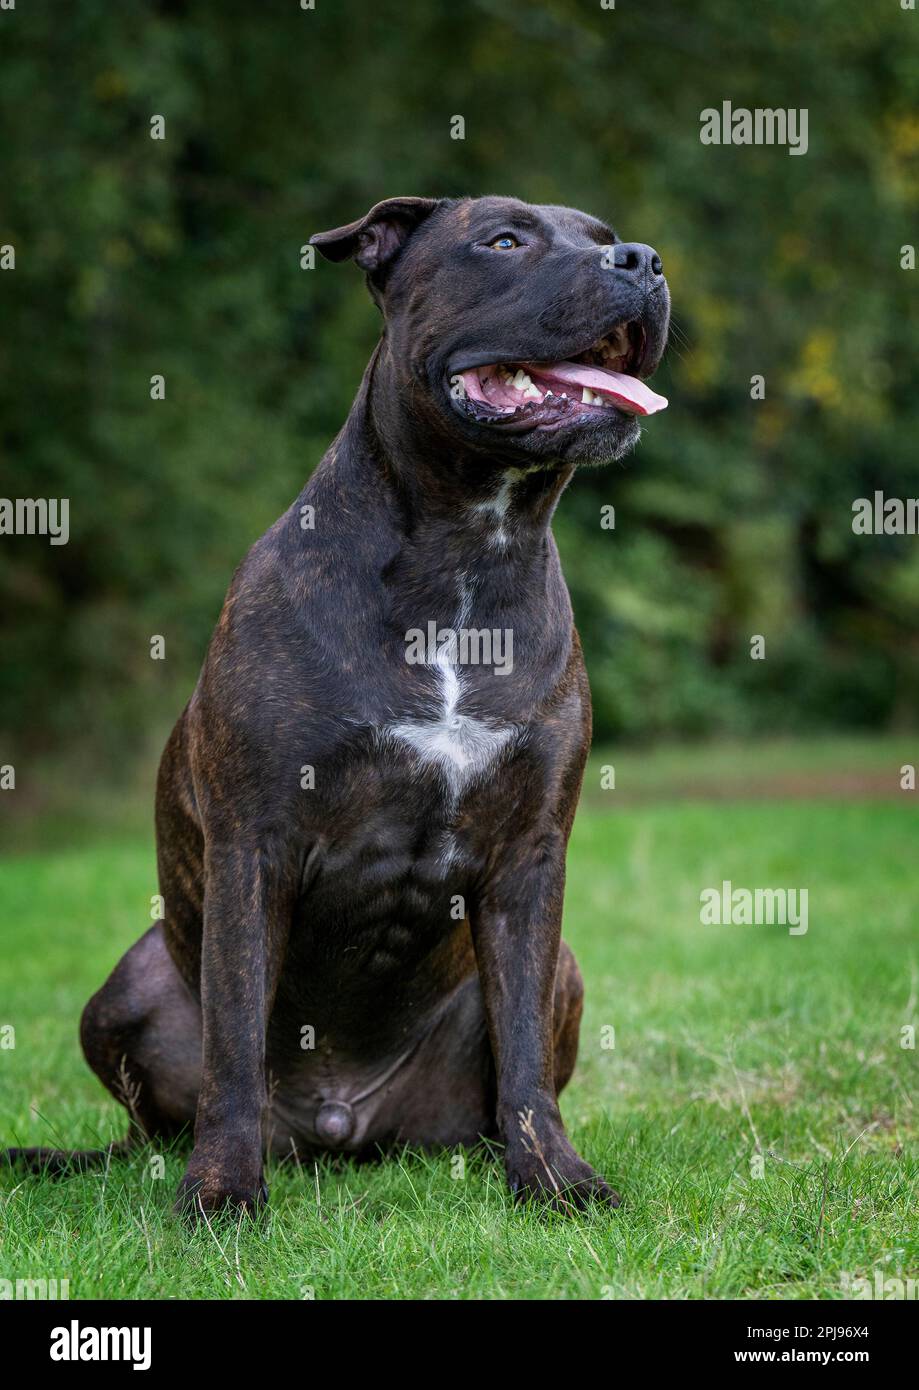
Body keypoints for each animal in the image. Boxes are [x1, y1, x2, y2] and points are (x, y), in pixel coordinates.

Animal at [5, 195, 667, 1217]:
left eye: (603, 238)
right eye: (503, 240)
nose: (640, 260)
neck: (467, 554)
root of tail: (338, 1126)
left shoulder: (528, 859)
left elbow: (521, 1057)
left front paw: (554, 1180)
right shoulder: (255, 844)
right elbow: (235, 1042)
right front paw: (222, 1196)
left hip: (559, 967)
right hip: (128, 985)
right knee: (160, 1116)